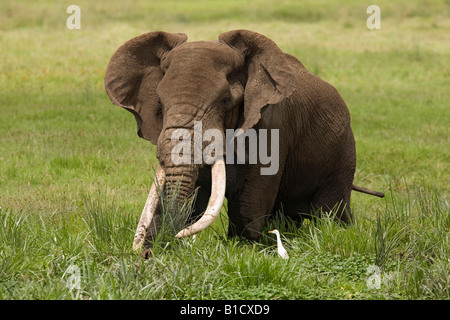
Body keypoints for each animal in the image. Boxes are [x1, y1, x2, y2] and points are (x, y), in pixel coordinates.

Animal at [104, 28, 384, 251]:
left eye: (226, 101)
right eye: (160, 105)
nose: (149, 248)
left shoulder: (272, 123)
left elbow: (252, 194)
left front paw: (242, 248)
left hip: (343, 153)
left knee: (331, 210)